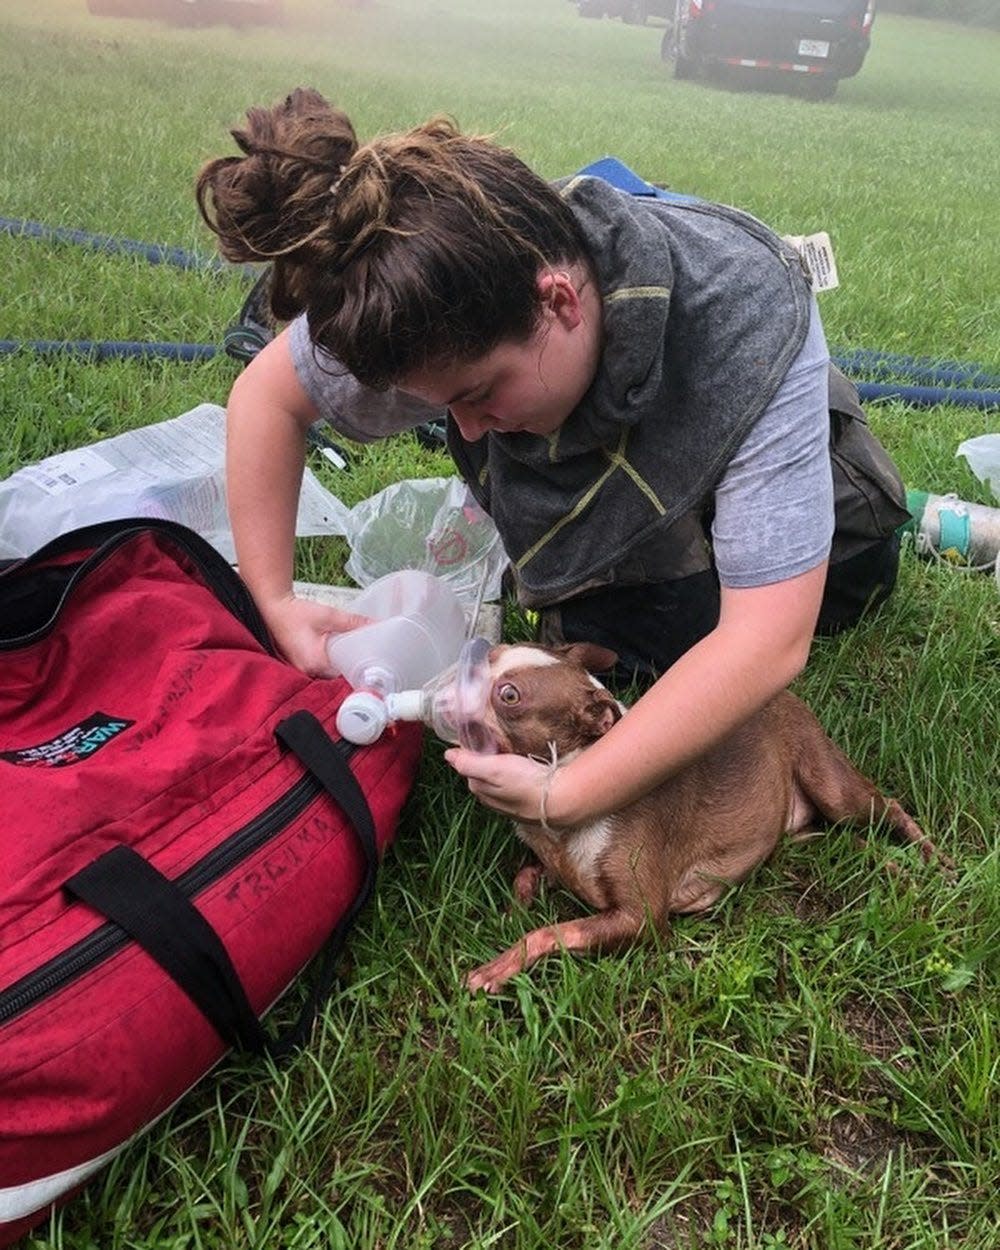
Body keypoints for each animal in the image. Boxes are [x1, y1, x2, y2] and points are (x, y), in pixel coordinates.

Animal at [465, 645, 940, 995]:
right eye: (494, 653)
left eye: (509, 696)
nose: (467, 664)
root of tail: (782, 692)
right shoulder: (560, 866)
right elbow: (527, 877)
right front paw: (513, 910)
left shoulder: (641, 921)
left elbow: (548, 933)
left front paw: (499, 965)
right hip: (801, 833)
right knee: (839, 841)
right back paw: (889, 865)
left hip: (831, 784)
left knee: (888, 807)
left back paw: (931, 858)